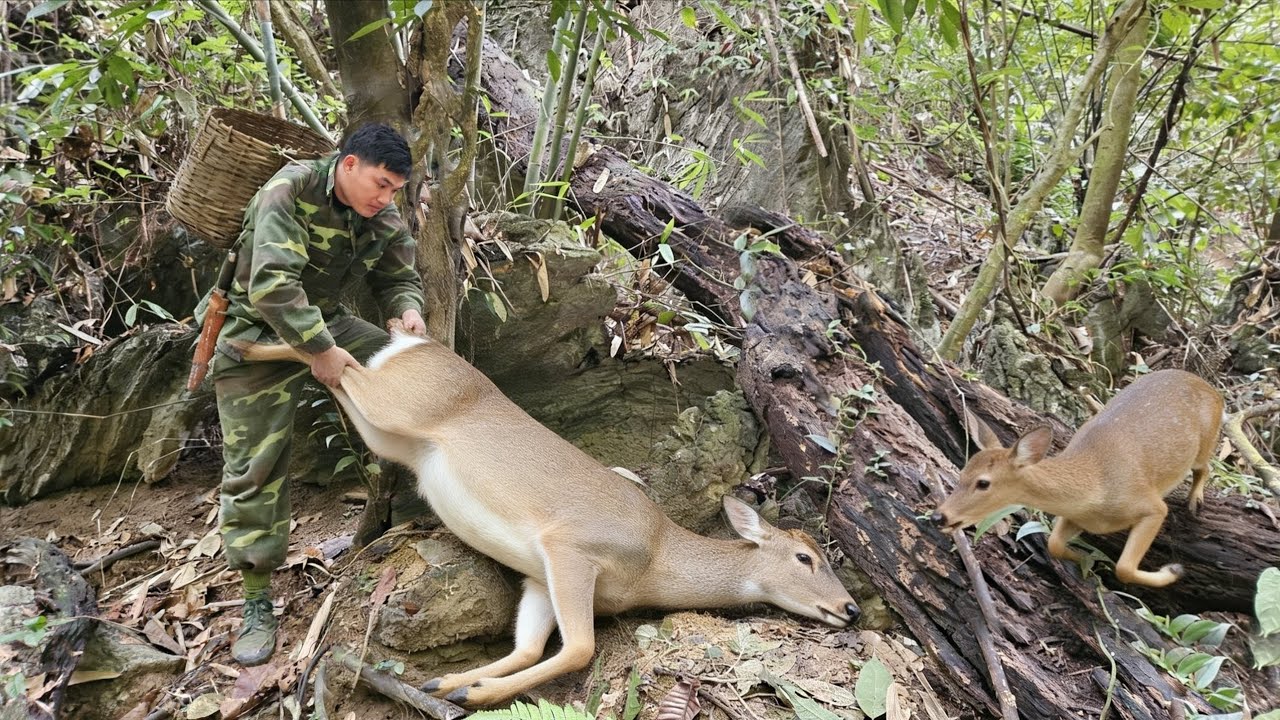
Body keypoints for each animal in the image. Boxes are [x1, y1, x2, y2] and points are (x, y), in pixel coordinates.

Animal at [232, 332, 859, 707]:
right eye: (806, 557)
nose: (851, 608)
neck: (654, 561)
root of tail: (415, 341)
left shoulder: (538, 578)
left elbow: (531, 648)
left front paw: (453, 683)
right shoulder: (570, 547)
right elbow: (578, 649)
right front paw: (474, 695)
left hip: (388, 432)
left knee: (336, 372)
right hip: (398, 402)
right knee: (335, 355)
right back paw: (237, 342)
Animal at [930, 369, 1223, 588]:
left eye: (983, 483)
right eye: (962, 473)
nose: (939, 516)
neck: (1096, 488)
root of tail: (1214, 391)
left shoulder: (1150, 505)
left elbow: (1124, 568)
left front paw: (1173, 570)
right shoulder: (1074, 515)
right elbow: (1054, 544)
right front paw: (1087, 560)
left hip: (1206, 440)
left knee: (1205, 467)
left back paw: (1195, 501)